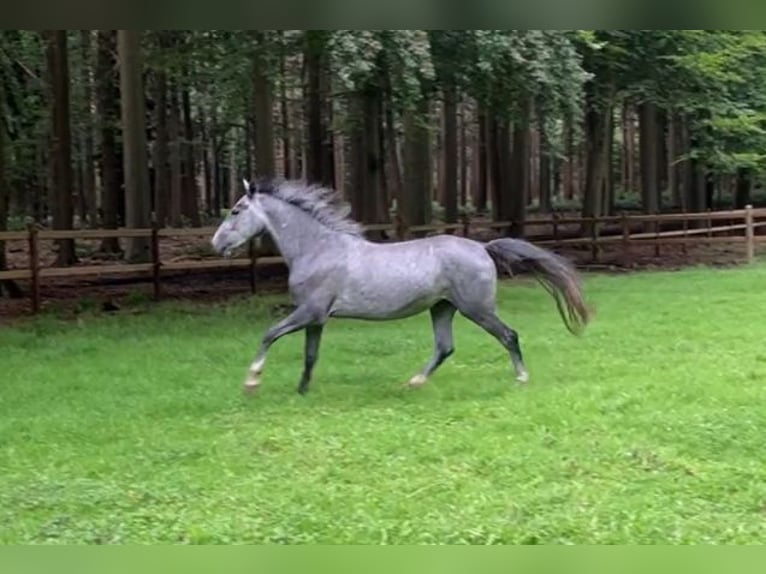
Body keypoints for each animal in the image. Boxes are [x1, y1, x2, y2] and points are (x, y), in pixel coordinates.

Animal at [212, 180, 592, 396]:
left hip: (476, 309)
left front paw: (252, 382)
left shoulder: (308, 312)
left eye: (236, 210)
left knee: (508, 335)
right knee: (445, 347)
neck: (318, 249)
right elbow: (310, 355)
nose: (216, 244)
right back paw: (414, 383)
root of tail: (483, 247)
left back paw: (522, 379)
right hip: (442, 308)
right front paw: (302, 390)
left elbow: (268, 335)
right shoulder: (316, 318)